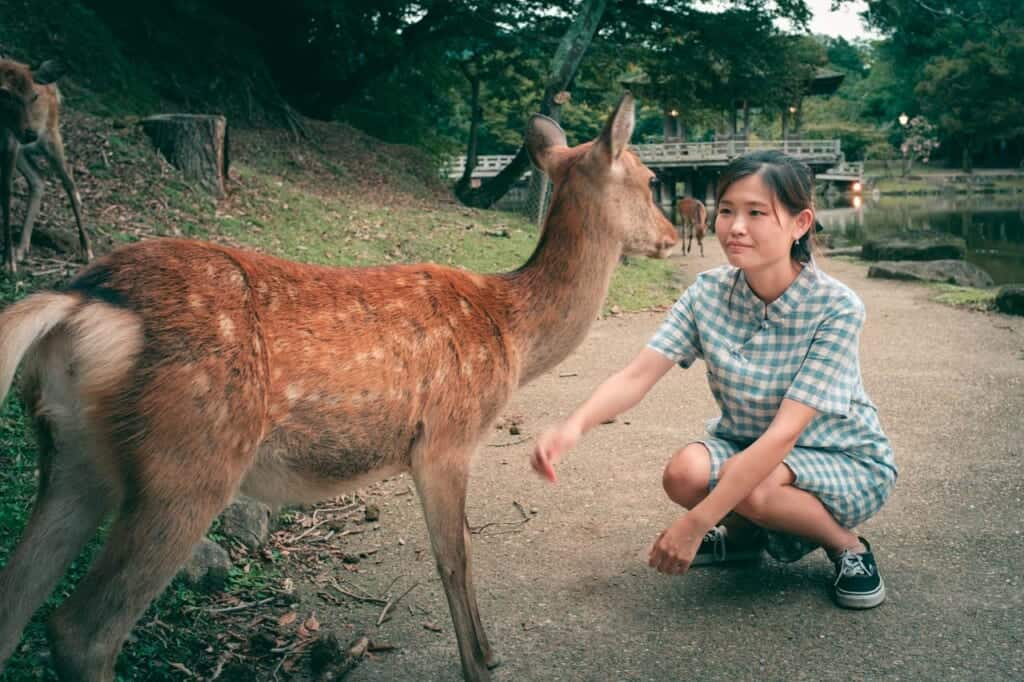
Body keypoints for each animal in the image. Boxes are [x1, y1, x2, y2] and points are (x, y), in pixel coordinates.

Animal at [0, 58, 93, 274]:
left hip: (50, 135)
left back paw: (87, 250)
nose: (30, 133)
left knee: (69, 180)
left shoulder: (10, 142)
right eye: (5, 93)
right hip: (23, 149)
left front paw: (8, 262)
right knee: (38, 178)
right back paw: (22, 249)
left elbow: (6, 193)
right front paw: (11, 257)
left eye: (34, 96)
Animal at [0, 92, 677, 681]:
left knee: (19, 602)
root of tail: (81, 303)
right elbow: (455, 558)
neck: (510, 332)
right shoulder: (446, 438)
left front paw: (485, 655)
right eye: (650, 181)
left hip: (72, 456)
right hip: (190, 458)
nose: (672, 237)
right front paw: (481, 663)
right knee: (82, 630)